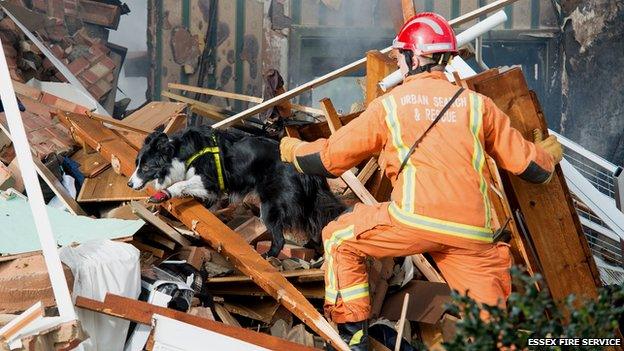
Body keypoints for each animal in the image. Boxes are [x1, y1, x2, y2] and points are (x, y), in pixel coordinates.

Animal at [127, 126, 346, 258]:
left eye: (145, 167)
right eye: (137, 163)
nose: (129, 184)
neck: (179, 153)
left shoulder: (208, 181)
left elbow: (181, 184)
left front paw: (163, 195)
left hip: (270, 205)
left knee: (280, 238)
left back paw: (267, 257)